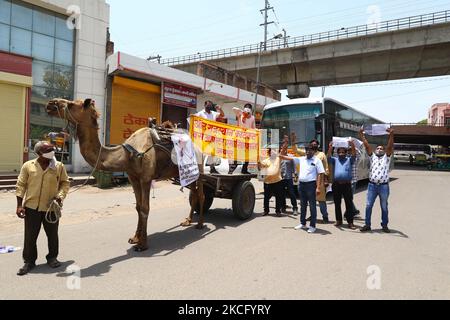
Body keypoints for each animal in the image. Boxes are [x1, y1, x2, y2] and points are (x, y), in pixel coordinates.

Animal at [45, 97, 207, 250]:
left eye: (71, 104)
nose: (50, 103)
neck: (128, 153)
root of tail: (198, 147)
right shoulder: (133, 178)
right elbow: (138, 207)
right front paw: (135, 238)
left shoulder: (146, 178)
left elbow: (145, 208)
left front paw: (142, 244)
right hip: (184, 174)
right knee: (193, 193)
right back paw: (187, 221)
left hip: (199, 171)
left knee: (201, 195)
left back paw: (199, 224)